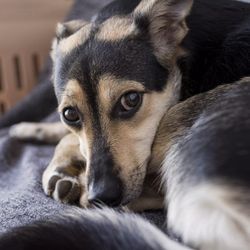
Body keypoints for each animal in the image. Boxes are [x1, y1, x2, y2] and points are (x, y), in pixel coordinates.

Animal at [6, 0, 250, 249]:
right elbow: (68, 134)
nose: (102, 196)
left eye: (131, 100)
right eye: (70, 114)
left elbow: (68, 139)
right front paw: (29, 128)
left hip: (183, 115)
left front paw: (60, 167)